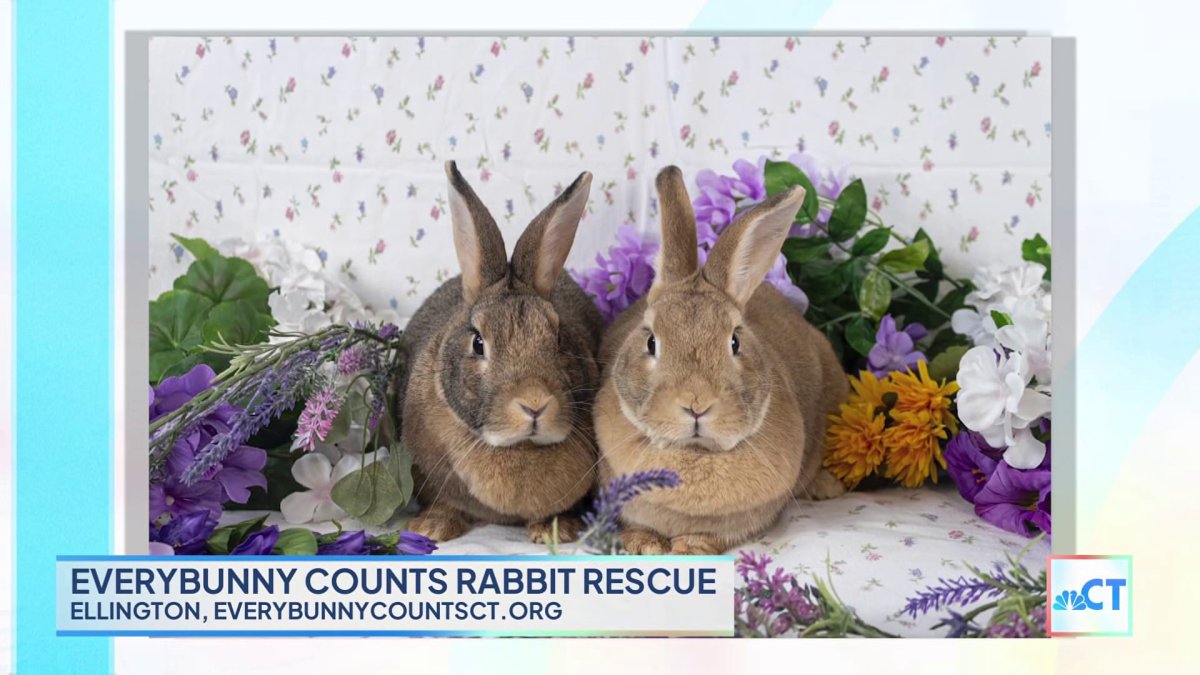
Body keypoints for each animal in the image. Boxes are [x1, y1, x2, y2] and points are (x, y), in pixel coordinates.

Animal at [398, 161, 605, 544]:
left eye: (558, 337)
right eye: (478, 342)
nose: (534, 403)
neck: (517, 446)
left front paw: (555, 531)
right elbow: (443, 501)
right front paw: (432, 528)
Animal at [593, 166, 850, 555]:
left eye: (734, 341)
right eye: (651, 341)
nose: (696, 404)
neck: (694, 453)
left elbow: (709, 535)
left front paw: (688, 549)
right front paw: (643, 545)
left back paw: (827, 487)